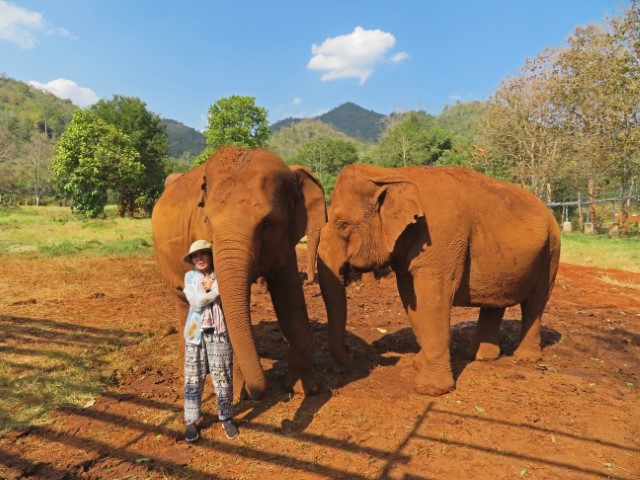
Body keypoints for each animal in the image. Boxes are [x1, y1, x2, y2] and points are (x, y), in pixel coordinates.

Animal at [152, 147, 328, 402]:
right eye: (207, 221)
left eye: (267, 223)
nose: (258, 394)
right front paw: (236, 395)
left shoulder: (284, 245)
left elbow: (290, 296)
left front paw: (307, 389)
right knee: (183, 301)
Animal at [320, 165, 560, 398]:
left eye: (343, 225)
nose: (352, 352)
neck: (390, 173)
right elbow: (411, 299)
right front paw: (418, 365)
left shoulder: (440, 238)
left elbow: (433, 299)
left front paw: (430, 390)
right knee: (494, 303)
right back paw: (480, 357)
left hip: (551, 251)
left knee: (535, 303)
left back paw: (524, 359)